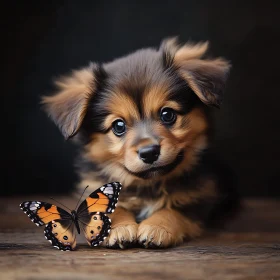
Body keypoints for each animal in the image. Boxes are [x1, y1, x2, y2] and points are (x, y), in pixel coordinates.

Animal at [42, 36, 237, 247]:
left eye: (167, 114)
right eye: (118, 126)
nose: (149, 152)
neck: (149, 185)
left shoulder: (199, 198)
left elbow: (173, 210)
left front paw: (156, 227)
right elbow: (111, 209)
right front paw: (119, 228)